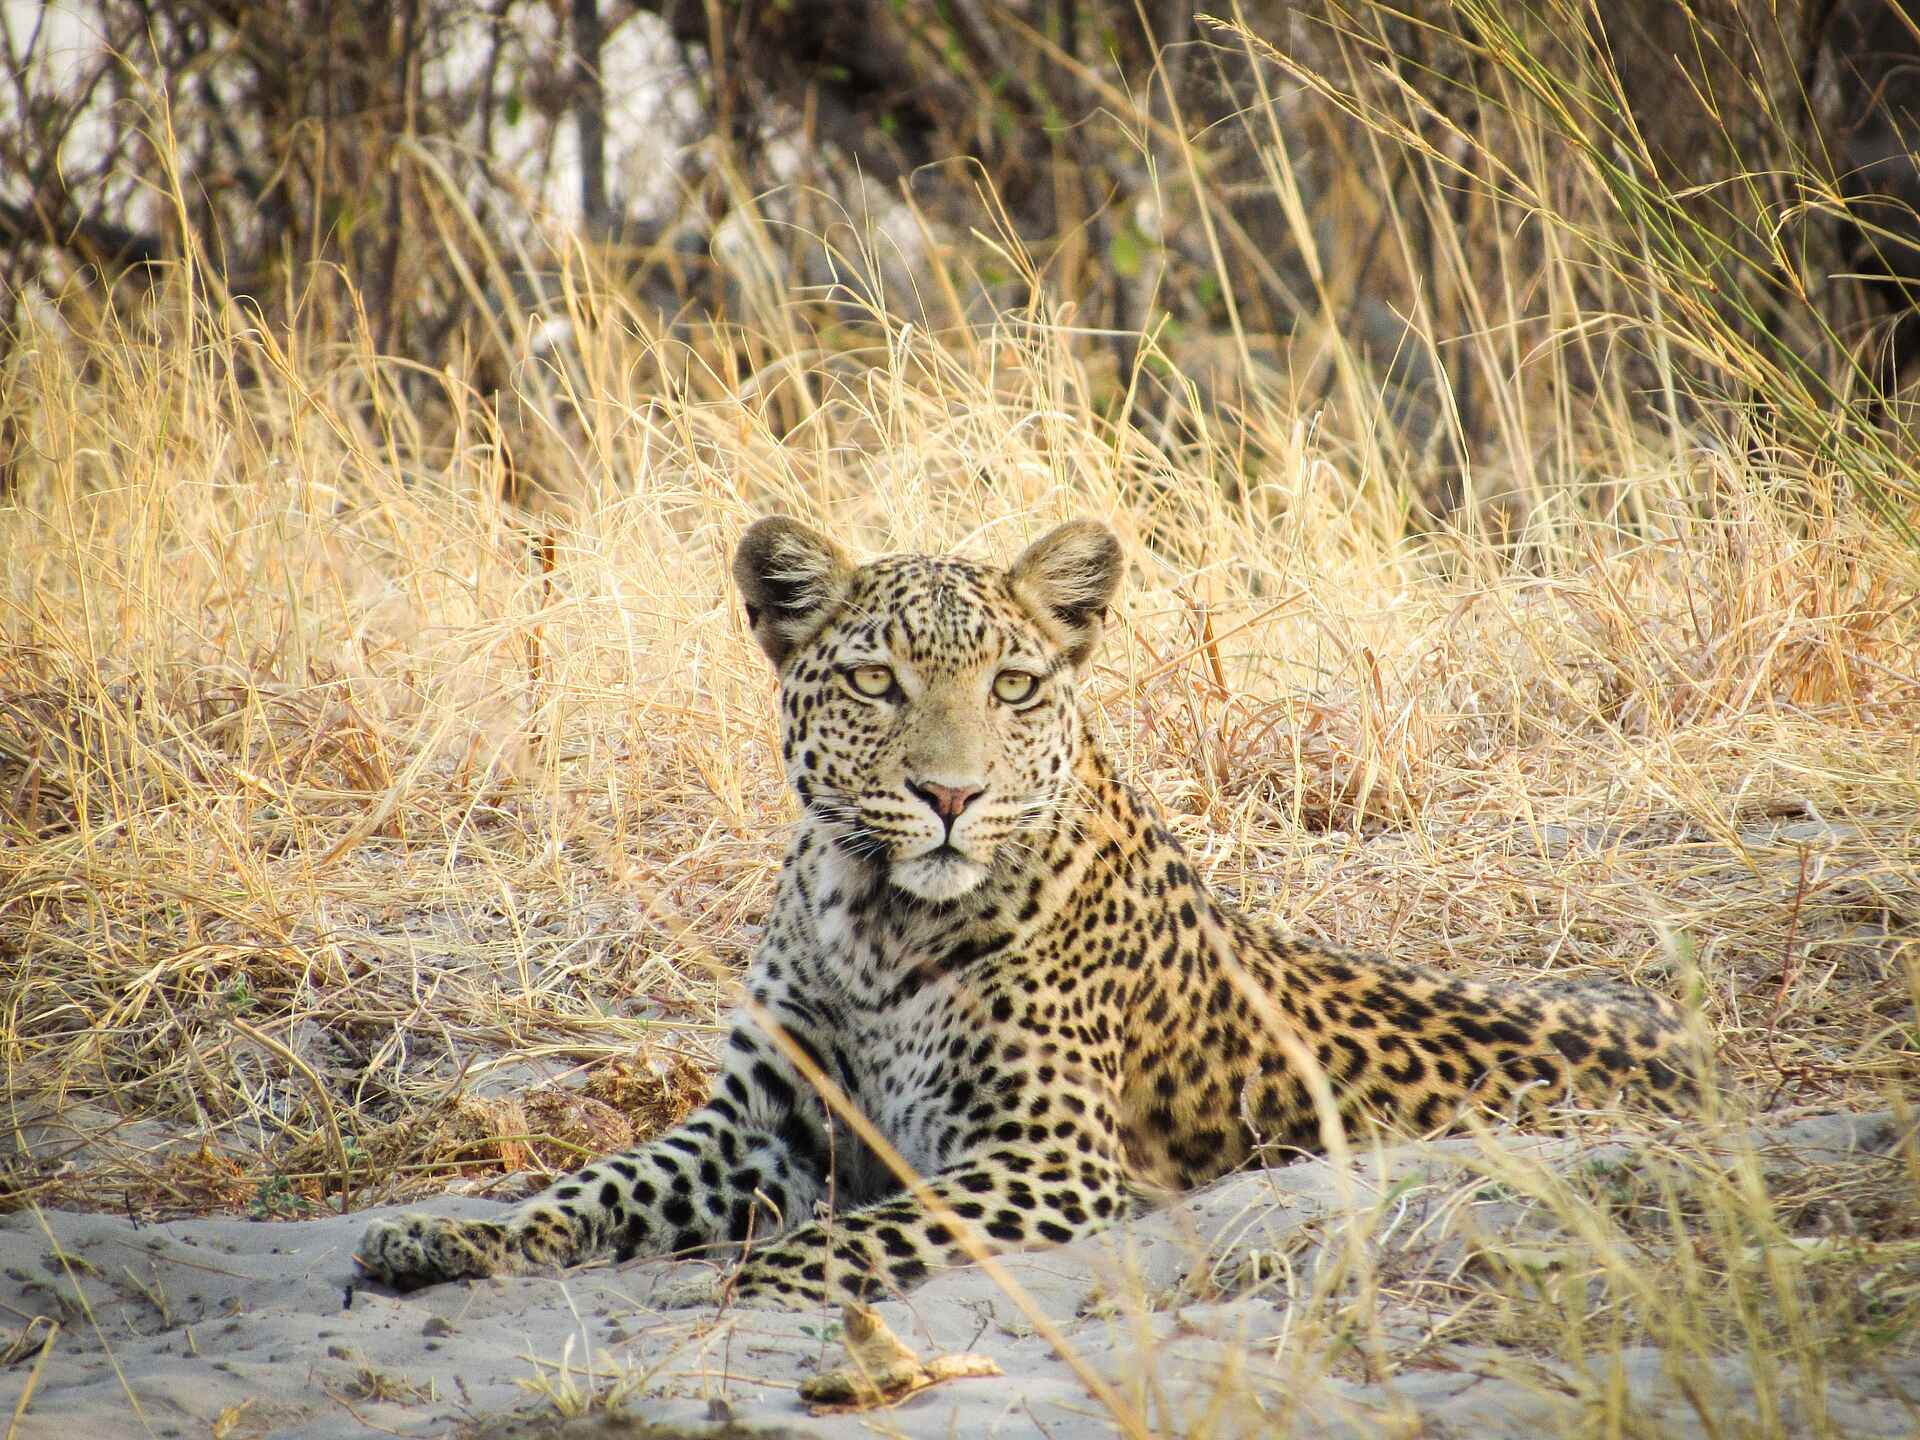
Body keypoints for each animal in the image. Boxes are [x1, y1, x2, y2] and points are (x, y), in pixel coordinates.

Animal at [357, 517, 1705, 1308]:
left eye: (1011, 686)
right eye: (873, 681)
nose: (950, 795)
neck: (874, 917)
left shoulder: (1045, 1155)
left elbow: (850, 1237)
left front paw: (744, 1292)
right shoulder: (764, 1124)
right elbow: (595, 1188)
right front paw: (444, 1241)